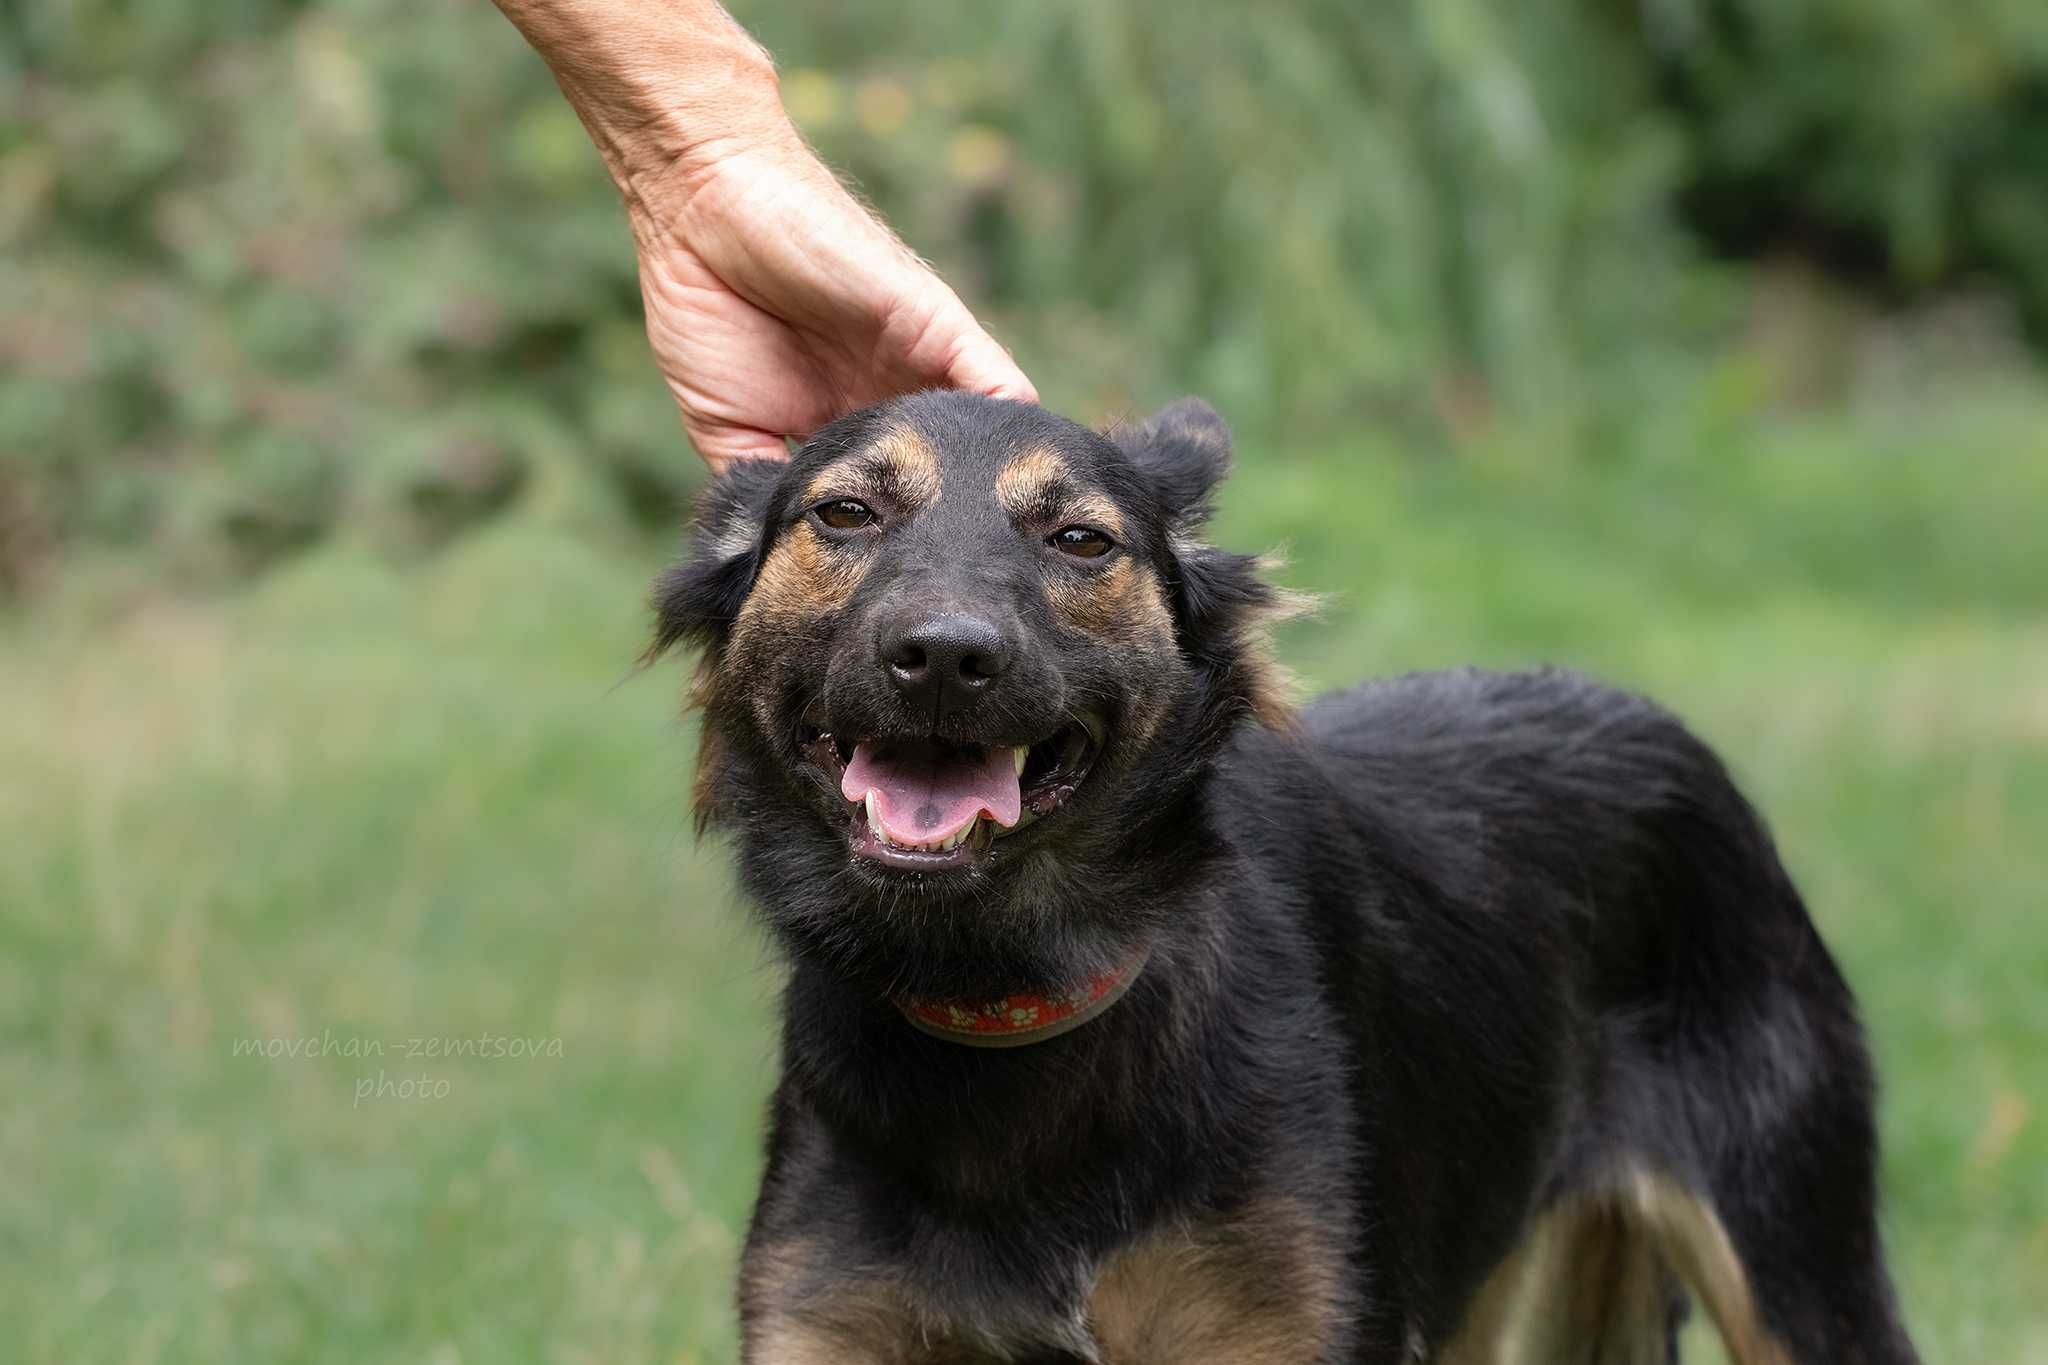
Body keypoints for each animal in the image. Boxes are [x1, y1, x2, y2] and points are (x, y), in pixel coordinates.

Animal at [651, 392, 1916, 1365]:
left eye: (1080, 542)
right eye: (844, 515)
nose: (946, 657)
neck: (1002, 999)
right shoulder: (833, 1322)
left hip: (1794, 1260)